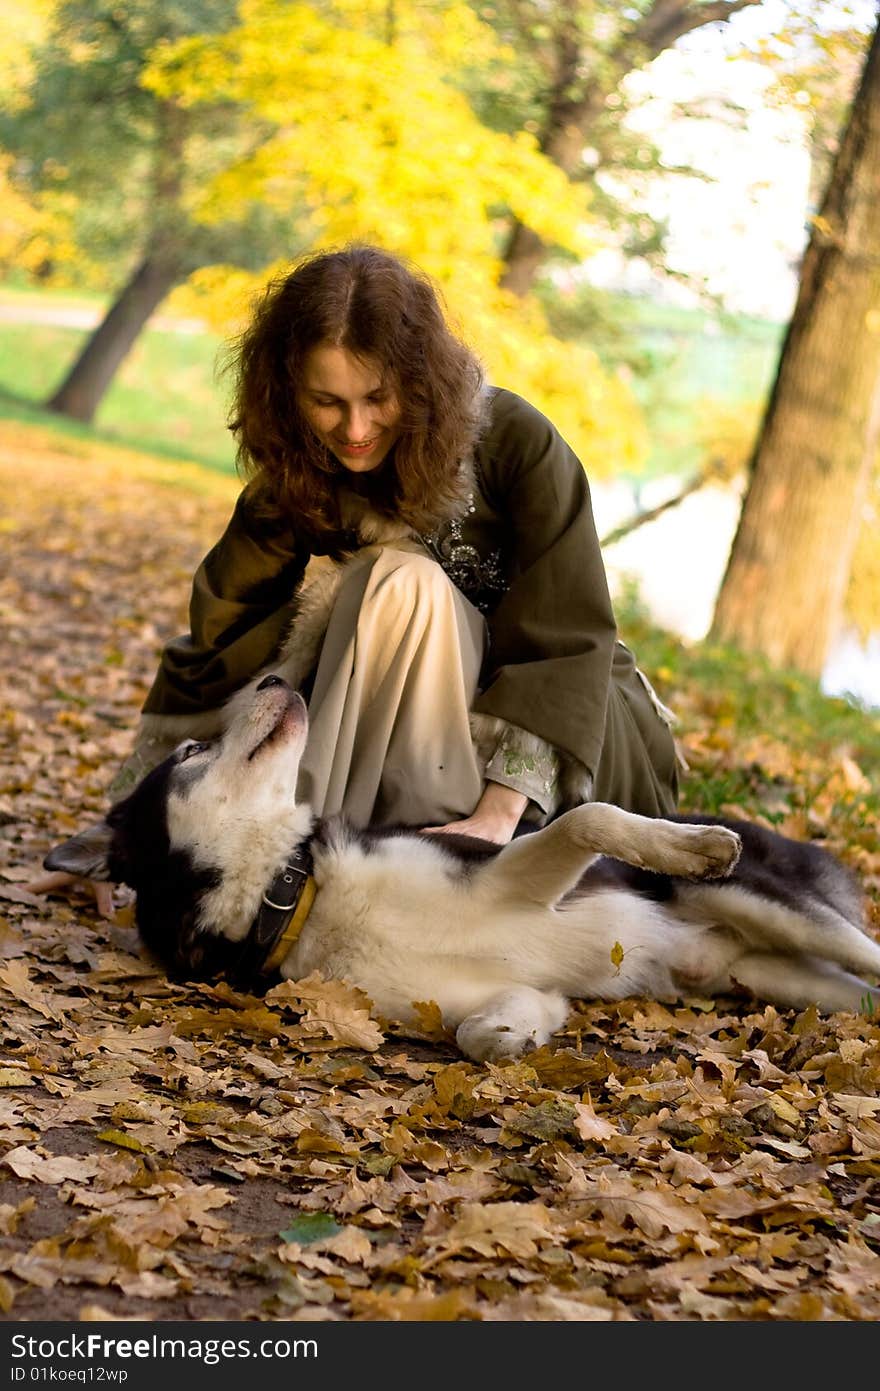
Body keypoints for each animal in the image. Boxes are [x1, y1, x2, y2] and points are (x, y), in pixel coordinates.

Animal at [46, 678, 878, 1057]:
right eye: (192, 749)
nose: (275, 679)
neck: (295, 894)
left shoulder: (511, 866)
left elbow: (589, 816)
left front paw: (691, 845)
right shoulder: (468, 988)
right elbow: (480, 1029)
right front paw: (519, 1034)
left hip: (771, 906)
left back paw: (707, 843)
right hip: (782, 980)